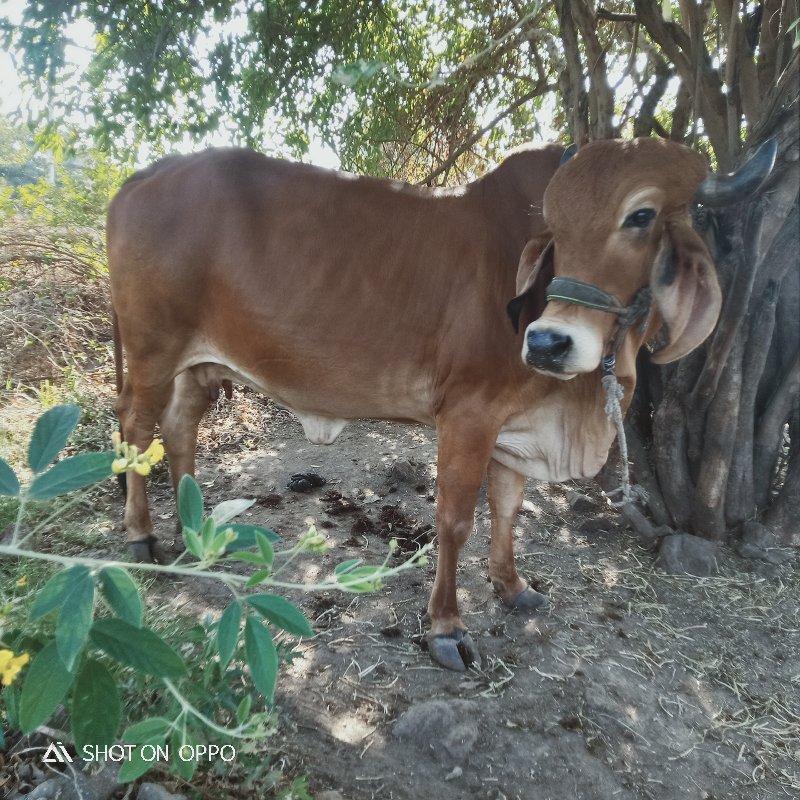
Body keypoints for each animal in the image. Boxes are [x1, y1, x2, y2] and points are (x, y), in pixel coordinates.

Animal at [108, 138, 776, 668]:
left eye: (641, 215)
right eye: (555, 229)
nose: (548, 342)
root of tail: (142, 177)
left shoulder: (514, 424)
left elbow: (508, 510)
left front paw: (512, 586)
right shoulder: (468, 416)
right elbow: (455, 521)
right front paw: (447, 629)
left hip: (200, 364)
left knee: (181, 429)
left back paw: (195, 532)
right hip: (153, 350)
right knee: (137, 429)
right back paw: (142, 537)